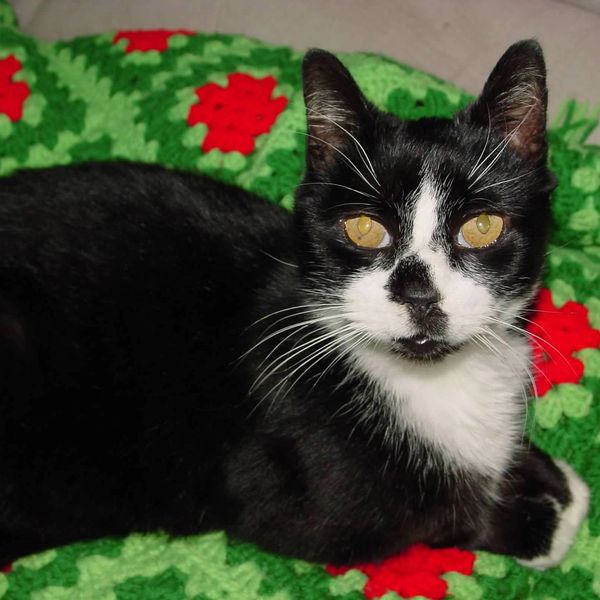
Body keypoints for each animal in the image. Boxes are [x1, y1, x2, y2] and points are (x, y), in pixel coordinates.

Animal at [0, 38, 588, 568]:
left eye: (482, 227)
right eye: (363, 228)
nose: (418, 294)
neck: (430, 382)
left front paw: (554, 479)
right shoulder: (283, 495)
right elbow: (433, 515)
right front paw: (543, 522)